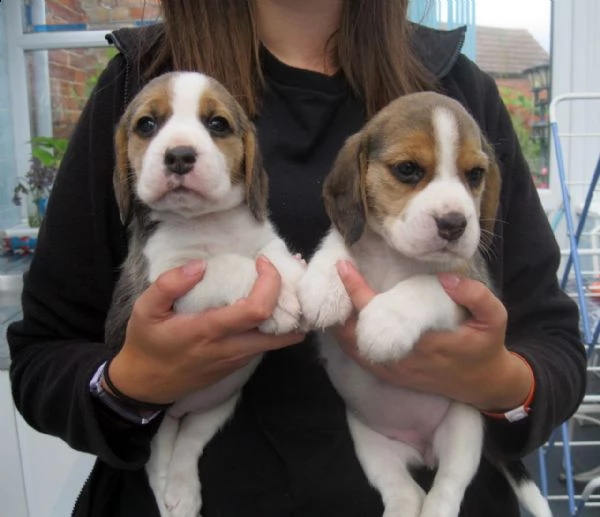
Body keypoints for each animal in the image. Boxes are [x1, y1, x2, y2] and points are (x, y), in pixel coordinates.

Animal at [104, 71, 304, 516]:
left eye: (217, 124)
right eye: (147, 125)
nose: (179, 155)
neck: (207, 222)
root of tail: (181, 409)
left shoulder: (263, 237)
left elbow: (272, 256)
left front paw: (294, 280)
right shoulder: (170, 277)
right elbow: (229, 265)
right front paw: (279, 303)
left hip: (219, 402)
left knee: (189, 444)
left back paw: (183, 489)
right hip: (153, 412)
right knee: (157, 457)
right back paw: (168, 496)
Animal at [298, 91, 552, 516]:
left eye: (475, 175)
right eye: (408, 170)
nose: (454, 223)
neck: (396, 257)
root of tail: (421, 450)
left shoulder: (468, 286)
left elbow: (426, 285)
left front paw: (385, 322)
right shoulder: (353, 239)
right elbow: (337, 244)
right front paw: (322, 285)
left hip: (464, 426)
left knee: (446, 488)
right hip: (370, 443)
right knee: (405, 492)